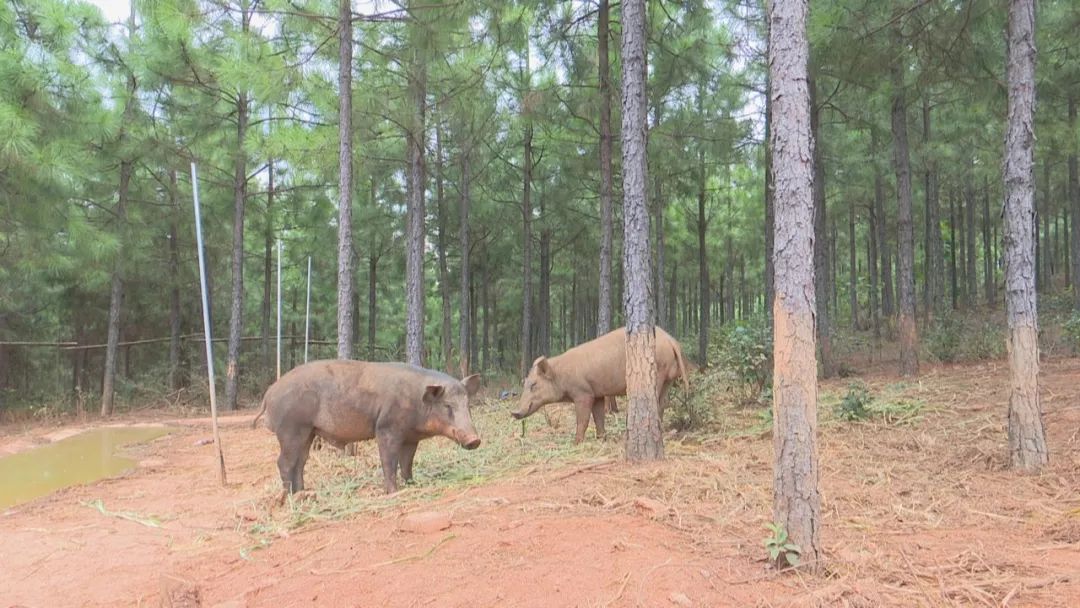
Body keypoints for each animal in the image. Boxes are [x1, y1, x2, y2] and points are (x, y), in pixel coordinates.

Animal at [252, 360, 481, 494]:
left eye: (467, 404)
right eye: (447, 405)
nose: (475, 439)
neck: (416, 402)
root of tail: (269, 393)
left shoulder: (410, 437)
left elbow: (407, 463)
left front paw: (412, 484)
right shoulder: (387, 428)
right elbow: (389, 461)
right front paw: (394, 492)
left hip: (308, 432)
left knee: (300, 462)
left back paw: (303, 493)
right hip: (290, 429)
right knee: (284, 462)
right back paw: (288, 498)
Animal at [509, 328, 686, 442]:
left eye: (534, 384)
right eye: (525, 383)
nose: (514, 412)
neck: (561, 376)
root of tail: (671, 340)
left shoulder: (583, 393)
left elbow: (583, 419)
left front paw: (577, 442)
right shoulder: (598, 394)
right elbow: (598, 417)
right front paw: (602, 438)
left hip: (659, 373)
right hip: (667, 379)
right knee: (663, 403)